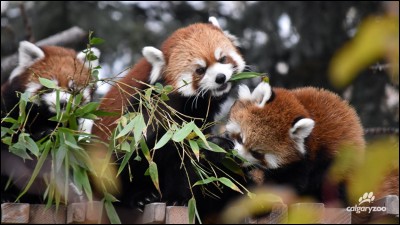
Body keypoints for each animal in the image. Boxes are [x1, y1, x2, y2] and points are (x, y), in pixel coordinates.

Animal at [0, 40, 100, 204]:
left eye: (72, 89)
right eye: (50, 87)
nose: (63, 103)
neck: (47, 117)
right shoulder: (11, 110)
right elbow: (14, 144)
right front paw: (43, 135)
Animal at [91, 17, 247, 218]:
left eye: (222, 59)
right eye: (200, 70)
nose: (220, 77)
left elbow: (187, 155)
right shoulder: (146, 109)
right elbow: (157, 149)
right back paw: (139, 196)